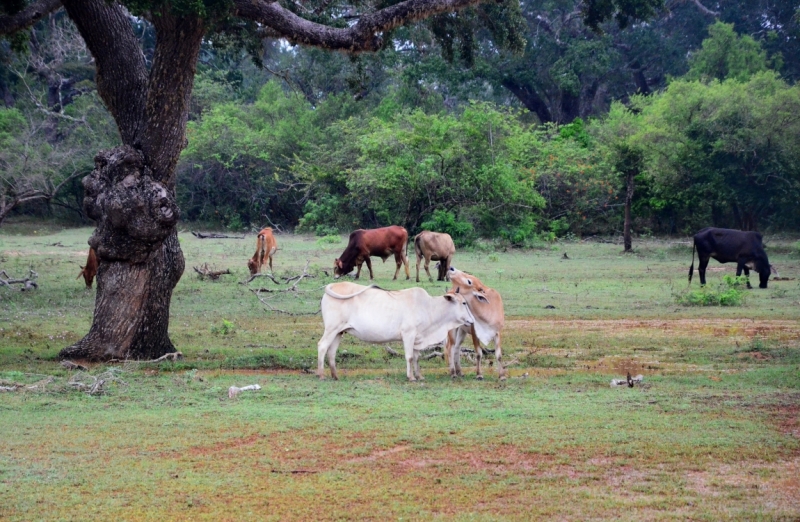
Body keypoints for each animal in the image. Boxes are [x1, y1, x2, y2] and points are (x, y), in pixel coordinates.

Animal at [316, 282, 472, 380]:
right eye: (464, 303)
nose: (472, 320)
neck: (429, 307)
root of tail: (334, 285)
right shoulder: (408, 334)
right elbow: (409, 357)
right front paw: (411, 377)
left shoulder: (417, 338)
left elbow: (416, 357)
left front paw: (419, 376)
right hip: (331, 329)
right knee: (322, 346)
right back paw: (321, 375)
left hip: (339, 332)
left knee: (331, 352)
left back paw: (335, 376)